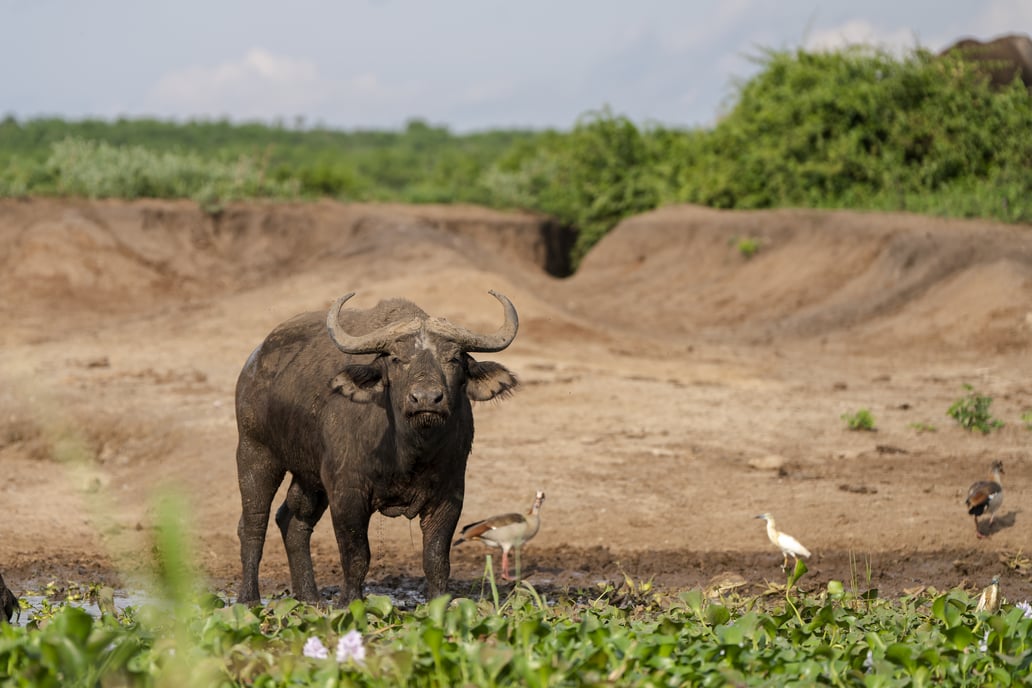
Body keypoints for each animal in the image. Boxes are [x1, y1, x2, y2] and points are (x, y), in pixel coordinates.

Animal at [237, 292, 520, 606]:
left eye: (454, 358)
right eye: (397, 359)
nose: (426, 399)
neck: (409, 450)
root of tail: (254, 363)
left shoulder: (449, 494)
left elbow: (436, 558)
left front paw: (439, 604)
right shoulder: (347, 493)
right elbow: (356, 556)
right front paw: (349, 603)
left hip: (309, 476)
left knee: (293, 521)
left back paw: (310, 599)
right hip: (255, 453)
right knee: (253, 524)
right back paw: (248, 600)